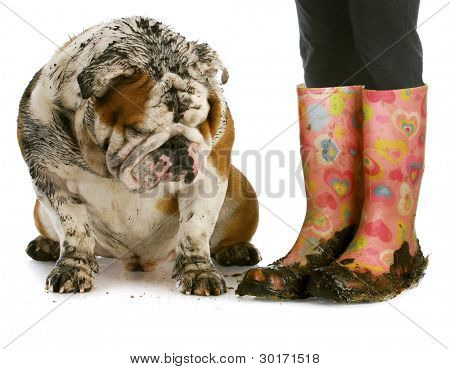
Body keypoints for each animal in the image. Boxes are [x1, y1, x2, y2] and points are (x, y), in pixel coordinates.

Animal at [17, 15, 260, 294]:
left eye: (200, 123)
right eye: (138, 130)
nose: (177, 144)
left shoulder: (211, 175)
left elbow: (195, 227)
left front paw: (199, 272)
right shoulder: (51, 177)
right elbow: (73, 228)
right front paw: (72, 268)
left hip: (242, 195)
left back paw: (236, 250)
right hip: (40, 211)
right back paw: (46, 245)